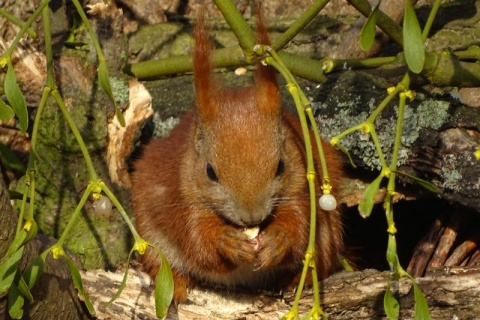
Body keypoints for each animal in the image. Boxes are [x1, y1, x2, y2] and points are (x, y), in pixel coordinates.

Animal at [129, 10, 344, 302]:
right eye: (210, 171)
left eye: (280, 166)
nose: (252, 217)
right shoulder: (180, 195)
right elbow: (197, 238)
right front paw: (225, 243)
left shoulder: (302, 182)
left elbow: (300, 223)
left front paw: (279, 240)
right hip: (151, 237)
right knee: (161, 264)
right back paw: (177, 285)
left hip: (328, 236)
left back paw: (298, 280)